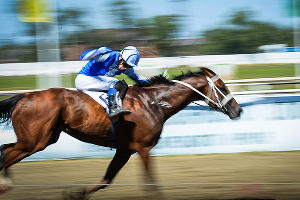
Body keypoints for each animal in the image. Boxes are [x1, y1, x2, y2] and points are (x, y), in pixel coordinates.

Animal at [0, 67, 241, 198]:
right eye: (222, 87)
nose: (238, 110)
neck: (154, 103)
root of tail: (22, 97)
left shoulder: (125, 150)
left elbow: (106, 179)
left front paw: (77, 194)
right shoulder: (144, 148)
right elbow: (151, 184)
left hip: (42, 139)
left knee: (4, 149)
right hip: (34, 141)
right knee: (6, 156)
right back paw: (5, 185)